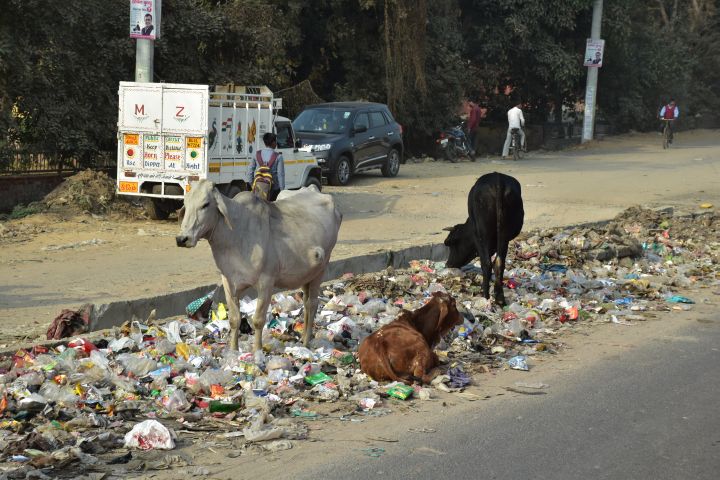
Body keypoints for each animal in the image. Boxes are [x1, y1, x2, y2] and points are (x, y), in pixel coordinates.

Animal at [176, 178, 342, 350]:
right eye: (185, 203)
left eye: (206, 204)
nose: (182, 239)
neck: (235, 235)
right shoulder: (228, 281)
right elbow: (234, 319)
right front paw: (233, 350)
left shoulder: (266, 283)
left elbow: (258, 320)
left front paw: (257, 350)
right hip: (307, 273)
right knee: (306, 300)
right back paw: (302, 337)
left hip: (321, 268)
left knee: (312, 303)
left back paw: (306, 341)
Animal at [444, 173, 524, 308]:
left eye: (450, 243)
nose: (448, 264)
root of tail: (498, 180)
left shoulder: (477, 237)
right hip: (504, 234)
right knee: (499, 263)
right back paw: (500, 298)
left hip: (483, 233)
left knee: (486, 263)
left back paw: (485, 295)